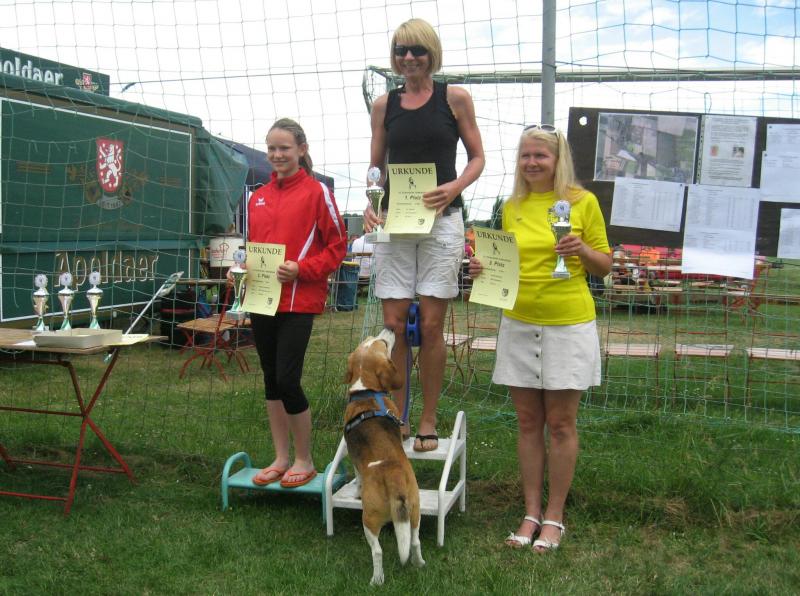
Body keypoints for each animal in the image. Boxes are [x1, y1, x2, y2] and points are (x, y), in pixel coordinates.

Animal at [343, 328, 425, 585]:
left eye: (380, 342)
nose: (388, 328)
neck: (366, 392)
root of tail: (393, 475)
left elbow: (357, 477)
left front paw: (356, 492)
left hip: (369, 519)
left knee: (377, 551)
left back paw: (377, 579)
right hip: (415, 510)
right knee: (415, 541)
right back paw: (419, 564)